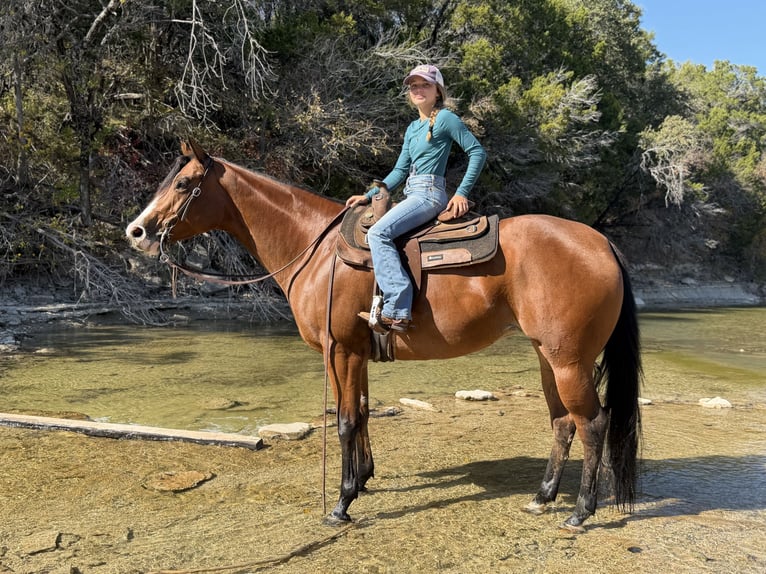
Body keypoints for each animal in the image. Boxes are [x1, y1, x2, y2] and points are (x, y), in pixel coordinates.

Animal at [126, 141, 642, 532]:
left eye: (183, 184)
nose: (136, 232)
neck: (316, 250)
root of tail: (602, 242)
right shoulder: (358, 353)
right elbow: (364, 412)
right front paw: (365, 479)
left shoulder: (340, 351)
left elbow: (345, 420)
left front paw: (342, 502)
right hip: (546, 357)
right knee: (563, 423)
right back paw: (543, 496)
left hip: (568, 359)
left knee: (593, 423)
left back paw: (580, 512)